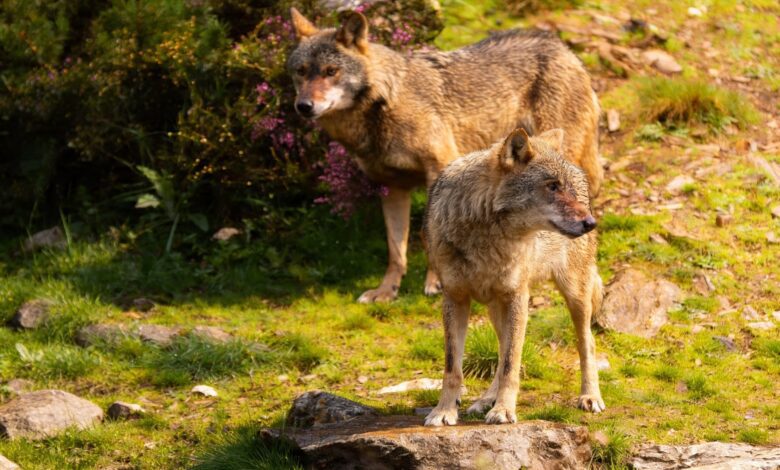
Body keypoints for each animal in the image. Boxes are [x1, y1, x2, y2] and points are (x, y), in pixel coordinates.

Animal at [287, 8, 602, 303]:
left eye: (330, 71)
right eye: (301, 72)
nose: (303, 106)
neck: (385, 103)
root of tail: (563, 47)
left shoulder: (438, 167)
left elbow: (428, 234)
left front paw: (436, 281)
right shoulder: (392, 188)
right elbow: (395, 249)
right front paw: (386, 291)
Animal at [423, 127, 605, 426]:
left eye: (566, 188)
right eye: (552, 186)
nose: (591, 223)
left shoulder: (518, 296)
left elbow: (511, 364)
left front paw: (504, 410)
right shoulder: (454, 298)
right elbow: (453, 368)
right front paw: (444, 411)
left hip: (574, 295)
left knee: (586, 343)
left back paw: (590, 396)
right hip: (497, 308)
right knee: (501, 350)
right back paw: (485, 400)